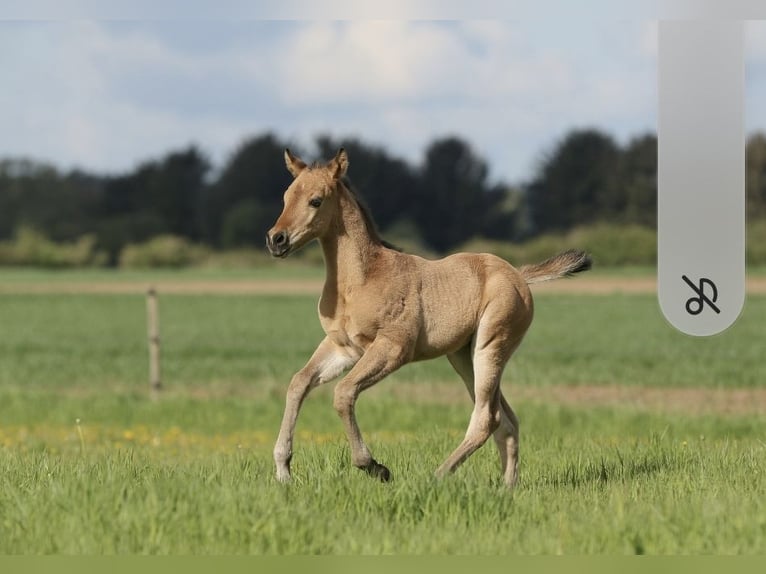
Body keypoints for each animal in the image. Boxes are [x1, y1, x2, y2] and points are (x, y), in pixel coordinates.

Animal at [268, 150, 592, 490]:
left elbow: (343, 393)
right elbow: (299, 383)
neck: (361, 279)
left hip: (490, 346)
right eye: (286, 197)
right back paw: (507, 487)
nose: (276, 239)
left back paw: (437, 476)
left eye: (316, 201)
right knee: (506, 420)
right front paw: (283, 470)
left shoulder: (393, 348)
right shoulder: (342, 347)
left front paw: (374, 466)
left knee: (487, 418)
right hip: (462, 356)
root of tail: (519, 274)